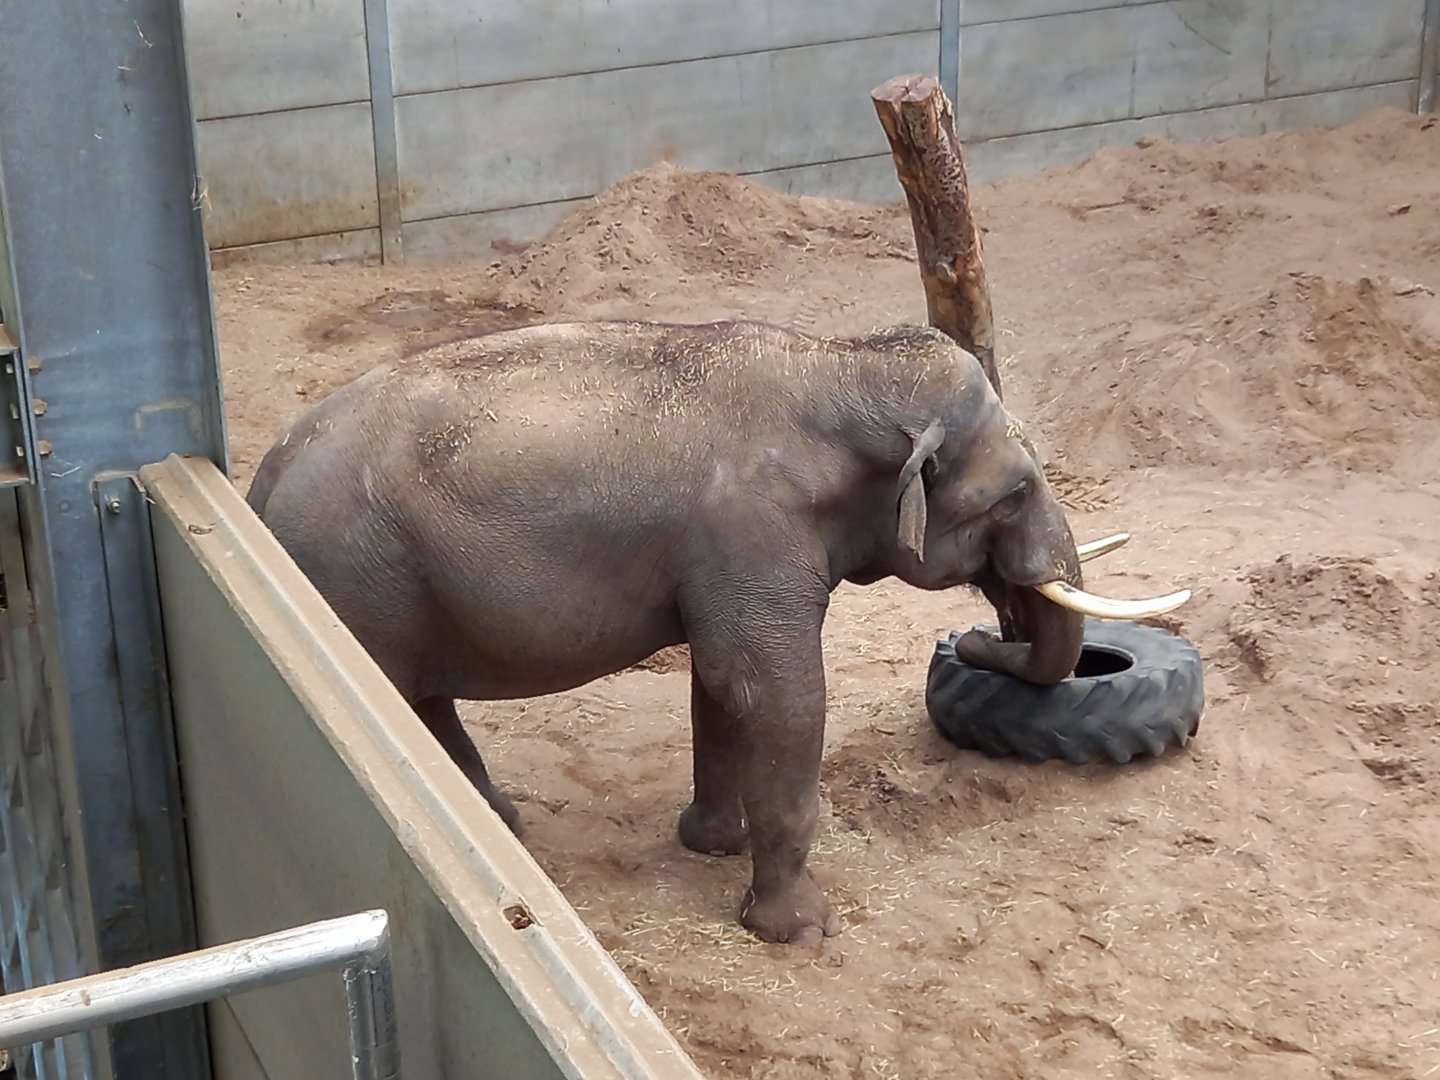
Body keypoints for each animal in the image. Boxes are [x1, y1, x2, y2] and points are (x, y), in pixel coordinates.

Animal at [246, 318, 1185, 946]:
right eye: (1016, 492)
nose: (976, 641)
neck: (838, 364)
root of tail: (263, 475)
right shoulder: (752, 527)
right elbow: (775, 691)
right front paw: (799, 931)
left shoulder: (721, 553)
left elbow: (718, 686)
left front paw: (712, 845)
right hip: (361, 578)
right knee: (406, 698)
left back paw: (498, 822)